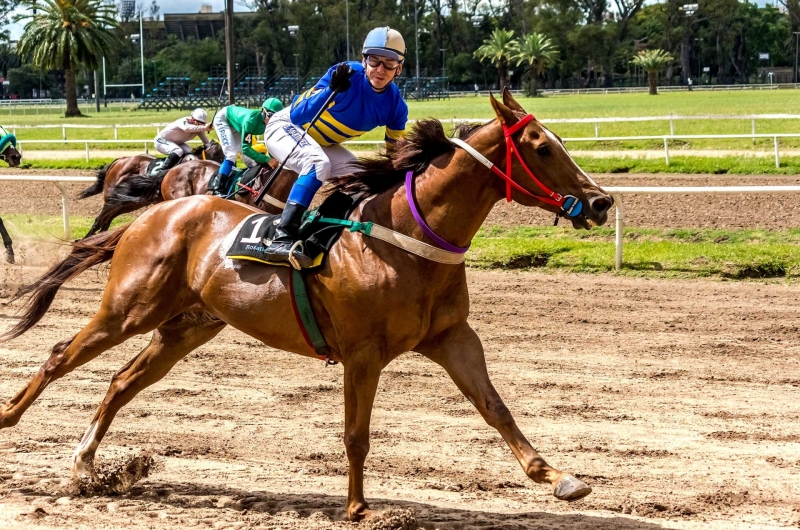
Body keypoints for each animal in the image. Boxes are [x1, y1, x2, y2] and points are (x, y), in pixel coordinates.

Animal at [0, 92, 612, 520]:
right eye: (541, 147)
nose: (601, 202)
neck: (405, 238)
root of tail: (154, 214)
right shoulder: (362, 353)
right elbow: (356, 433)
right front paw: (359, 508)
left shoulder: (453, 338)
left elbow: (495, 408)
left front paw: (557, 476)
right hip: (129, 308)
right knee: (59, 355)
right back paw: (11, 420)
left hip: (186, 327)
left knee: (122, 381)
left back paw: (86, 466)